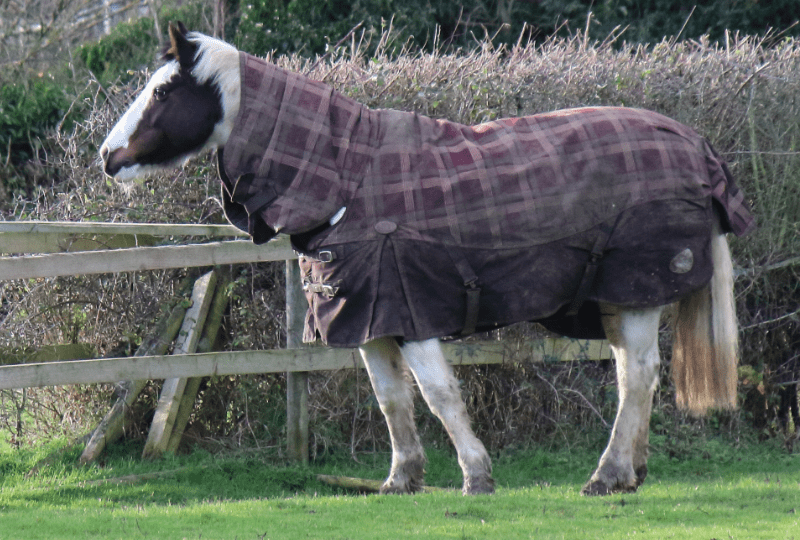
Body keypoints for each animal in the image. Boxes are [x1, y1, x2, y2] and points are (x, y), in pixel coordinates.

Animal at [100, 22, 756, 498]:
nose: (107, 156)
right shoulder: (366, 319)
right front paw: (400, 480)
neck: (345, 177)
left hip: (636, 291)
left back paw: (606, 475)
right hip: (617, 299)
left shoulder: (409, 310)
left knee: (639, 374)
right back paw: (630, 473)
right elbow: (392, 398)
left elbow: (439, 394)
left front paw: (476, 476)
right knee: (630, 374)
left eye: (164, 91)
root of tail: (700, 150)